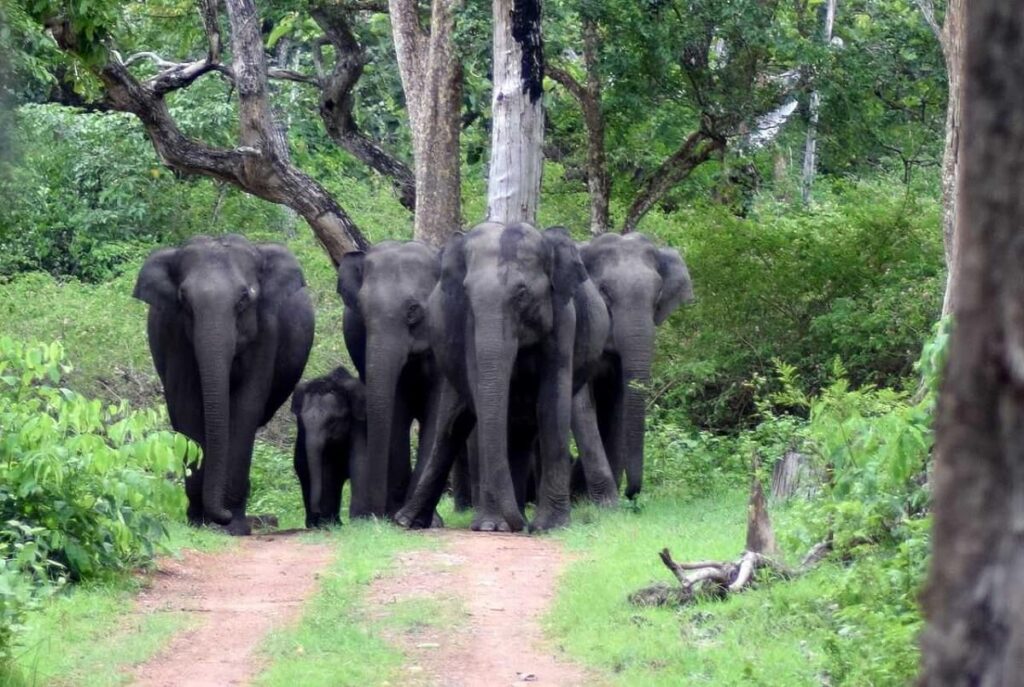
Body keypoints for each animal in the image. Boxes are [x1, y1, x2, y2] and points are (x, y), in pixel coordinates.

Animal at [134, 234, 314, 535]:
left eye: (244, 298)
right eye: (184, 299)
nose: (223, 516)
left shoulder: (267, 330)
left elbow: (246, 407)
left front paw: (234, 528)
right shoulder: (174, 333)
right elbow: (188, 406)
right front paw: (199, 522)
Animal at [291, 366, 366, 528]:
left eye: (333, 421)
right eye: (302, 421)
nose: (316, 511)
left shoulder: (361, 424)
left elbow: (360, 462)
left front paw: (358, 522)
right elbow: (322, 470)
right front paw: (327, 525)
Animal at [337, 240, 444, 519]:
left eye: (413, 310)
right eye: (361, 312)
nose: (374, 514)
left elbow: (437, 409)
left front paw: (413, 517)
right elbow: (395, 408)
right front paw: (396, 513)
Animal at [395, 223, 608, 533]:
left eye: (521, 293)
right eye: (466, 292)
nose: (524, 526)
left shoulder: (564, 317)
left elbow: (552, 403)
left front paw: (551, 526)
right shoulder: (468, 325)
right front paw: (490, 526)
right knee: (451, 428)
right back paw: (408, 521)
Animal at [571, 232, 694, 502]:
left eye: (658, 293)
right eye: (603, 291)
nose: (631, 493)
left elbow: (619, 403)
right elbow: (581, 405)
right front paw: (606, 502)